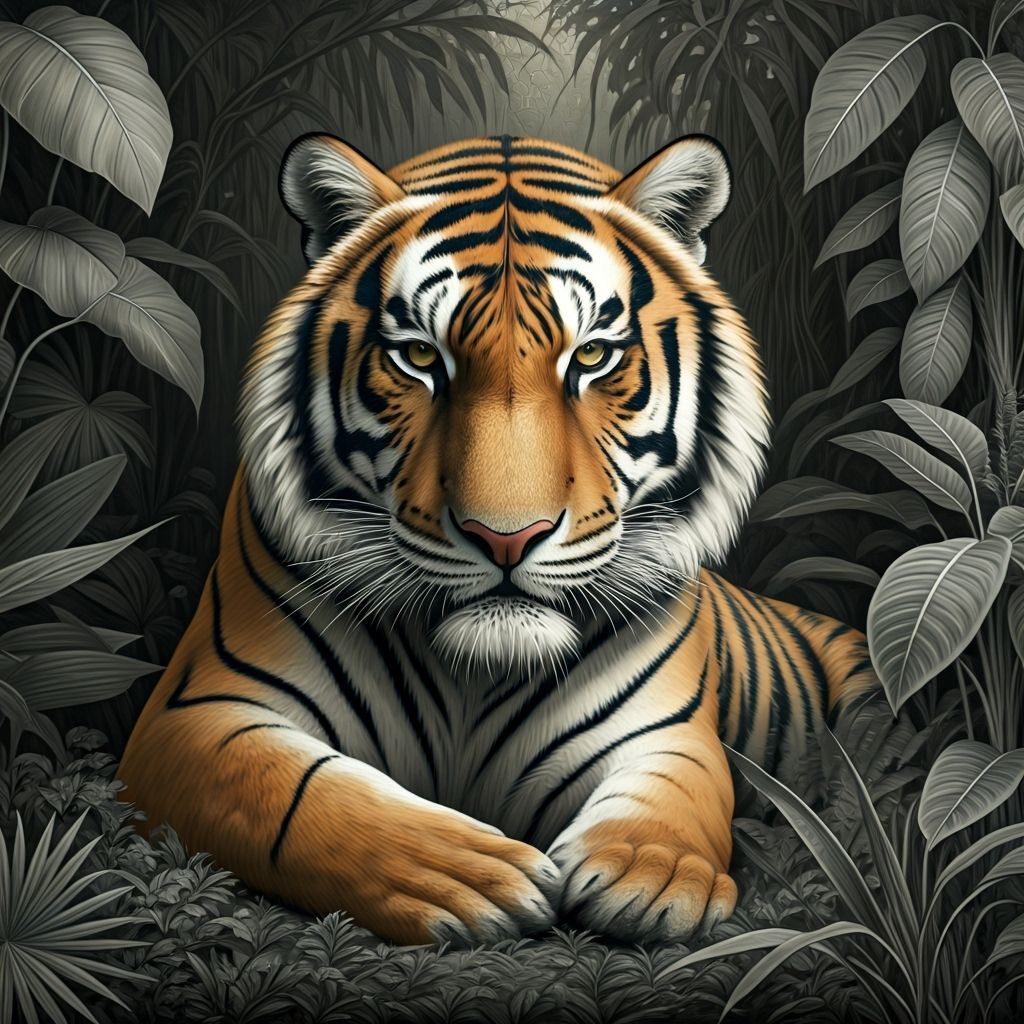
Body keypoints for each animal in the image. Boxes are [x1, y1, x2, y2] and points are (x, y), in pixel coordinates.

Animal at [118, 132, 878, 947]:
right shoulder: (195, 713)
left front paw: (651, 871)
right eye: (421, 358)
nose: (507, 538)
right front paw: (460, 875)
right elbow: (298, 793)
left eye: (592, 357)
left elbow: (677, 793)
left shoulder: (670, 732)